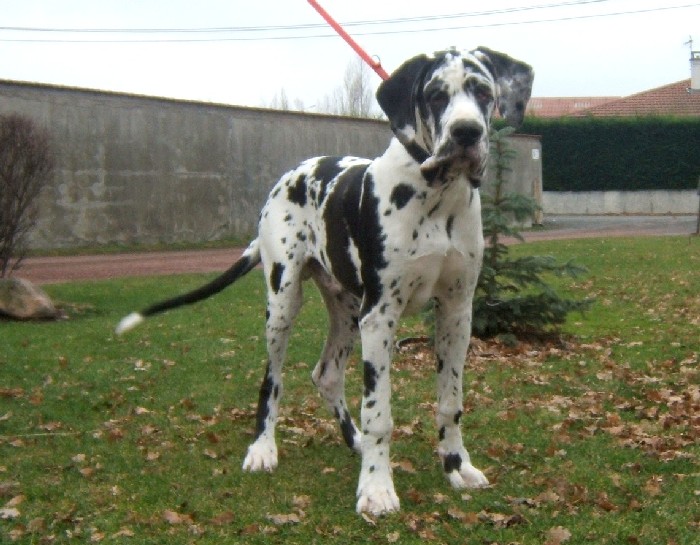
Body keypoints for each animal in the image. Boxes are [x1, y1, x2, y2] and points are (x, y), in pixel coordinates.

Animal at [117, 47, 532, 516]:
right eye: (436, 95)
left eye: (483, 92)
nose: (466, 132)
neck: (436, 196)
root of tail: (294, 170)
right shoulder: (381, 316)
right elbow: (379, 412)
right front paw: (376, 488)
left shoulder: (457, 314)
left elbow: (450, 402)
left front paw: (457, 466)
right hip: (284, 303)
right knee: (271, 379)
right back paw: (263, 449)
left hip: (348, 312)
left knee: (326, 375)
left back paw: (355, 441)